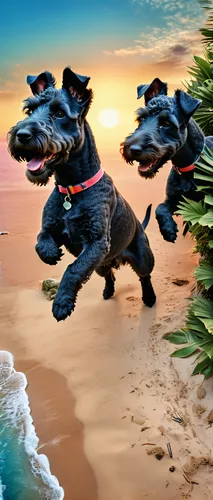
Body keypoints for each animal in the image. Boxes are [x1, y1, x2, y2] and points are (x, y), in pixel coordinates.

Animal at [7, 67, 156, 320]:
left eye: (59, 113)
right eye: (29, 110)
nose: (22, 134)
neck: (72, 189)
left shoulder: (96, 242)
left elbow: (73, 269)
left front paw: (61, 303)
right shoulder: (54, 229)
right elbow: (40, 240)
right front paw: (50, 253)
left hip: (143, 258)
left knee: (144, 276)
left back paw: (149, 297)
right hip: (101, 265)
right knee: (109, 274)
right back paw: (108, 291)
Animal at [120, 77, 213, 243]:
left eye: (166, 123)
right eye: (141, 118)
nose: (133, 149)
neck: (187, 166)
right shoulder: (175, 200)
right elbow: (160, 208)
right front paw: (168, 230)